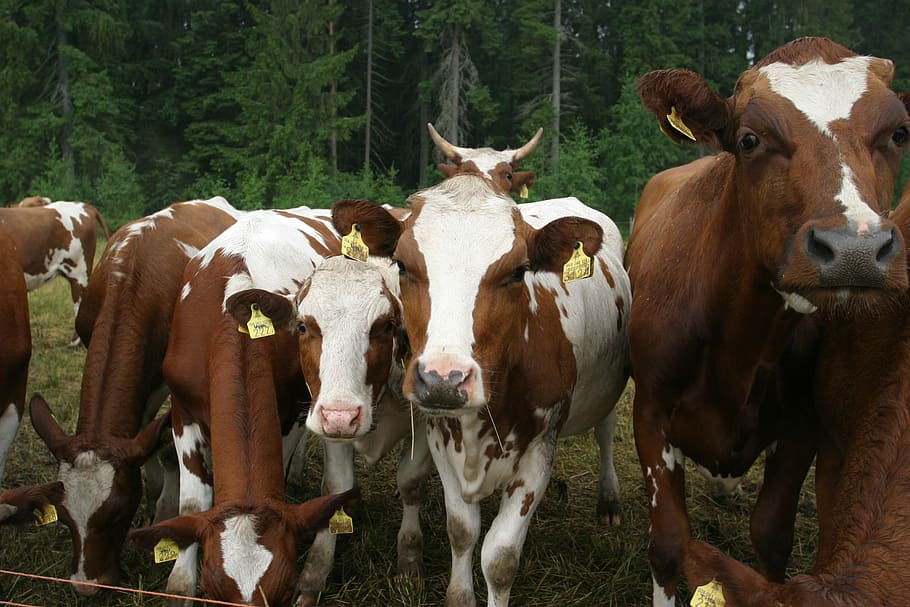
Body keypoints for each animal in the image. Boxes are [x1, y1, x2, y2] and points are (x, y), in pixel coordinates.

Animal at [26, 196, 242, 595]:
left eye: (117, 513)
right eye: (63, 517)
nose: (86, 586)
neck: (131, 277)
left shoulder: (166, 383)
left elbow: (156, 442)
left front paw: (160, 504)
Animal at [131, 207, 350, 606]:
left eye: (284, 591)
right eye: (211, 590)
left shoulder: (291, 410)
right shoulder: (182, 411)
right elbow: (192, 506)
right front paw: (179, 583)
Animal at [230, 253, 434, 606]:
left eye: (386, 326)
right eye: (302, 326)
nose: (342, 415)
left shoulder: (423, 421)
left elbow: (410, 482)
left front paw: (409, 561)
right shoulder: (330, 427)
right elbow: (336, 487)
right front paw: (314, 574)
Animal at [331, 136, 631, 605]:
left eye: (518, 271)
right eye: (402, 265)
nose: (443, 379)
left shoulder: (537, 454)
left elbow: (500, 557)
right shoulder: (440, 438)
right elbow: (462, 531)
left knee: (605, 431)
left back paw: (609, 501)